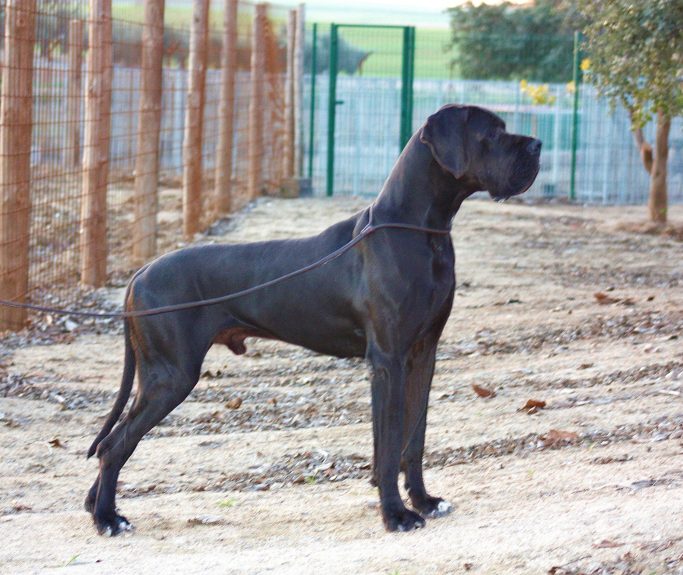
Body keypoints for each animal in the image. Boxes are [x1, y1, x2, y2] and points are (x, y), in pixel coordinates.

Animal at [85, 103, 540, 536]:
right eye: (492, 133)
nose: (537, 144)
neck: (420, 230)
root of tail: (140, 273)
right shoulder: (387, 360)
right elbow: (390, 443)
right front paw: (396, 515)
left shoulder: (423, 354)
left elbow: (414, 438)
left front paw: (424, 501)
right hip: (171, 376)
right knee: (114, 445)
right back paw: (108, 519)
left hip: (158, 377)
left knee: (116, 441)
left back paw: (97, 509)